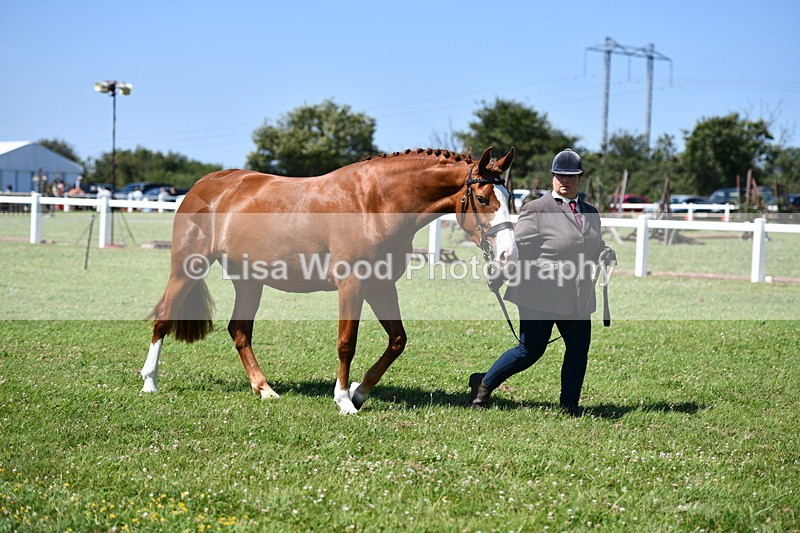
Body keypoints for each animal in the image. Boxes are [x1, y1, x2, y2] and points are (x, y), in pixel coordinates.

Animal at [141, 146, 518, 413]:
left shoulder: (382, 287)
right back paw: (149, 383)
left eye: (511, 199)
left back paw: (264, 389)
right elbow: (346, 343)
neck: (375, 202)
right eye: (482, 198)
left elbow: (397, 340)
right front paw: (344, 400)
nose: (507, 255)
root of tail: (204, 185)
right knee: (164, 319)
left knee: (240, 331)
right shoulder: (352, 285)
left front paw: (360, 392)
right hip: (187, 267)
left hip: (249, 281)